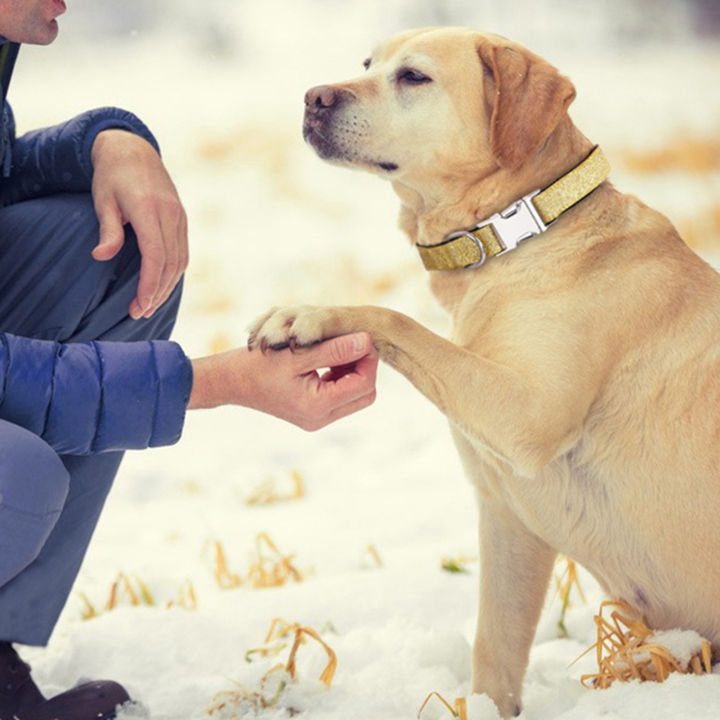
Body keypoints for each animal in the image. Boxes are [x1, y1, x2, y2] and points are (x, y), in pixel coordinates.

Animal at [249, 26, 720, 716]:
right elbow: (494, 648)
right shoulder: (506, 516)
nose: (313, 97)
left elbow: (398, 320)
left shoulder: (528, 418)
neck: (519, 231)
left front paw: (313, 313)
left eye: (413, 77)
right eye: (367, 64)